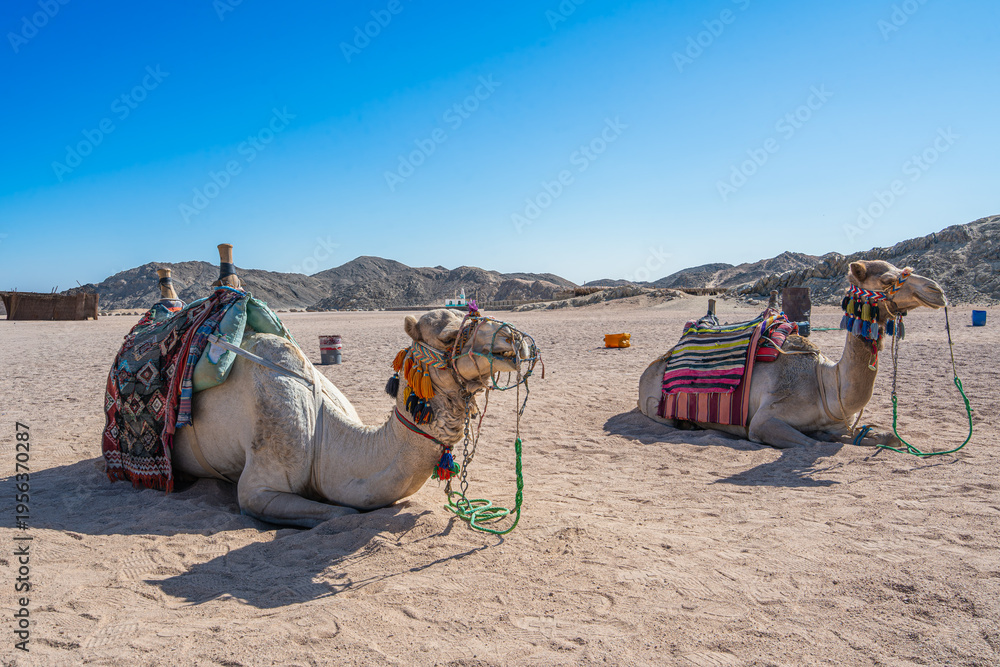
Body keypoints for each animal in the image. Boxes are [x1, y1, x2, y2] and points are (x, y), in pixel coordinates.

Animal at [638, 260, 947, 449]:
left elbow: (888, 436)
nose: (937, 290)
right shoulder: (764, 420)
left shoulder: (839, 421)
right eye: (886, 278)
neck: (826, 385)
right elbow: (811, 443)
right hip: (654, 405)